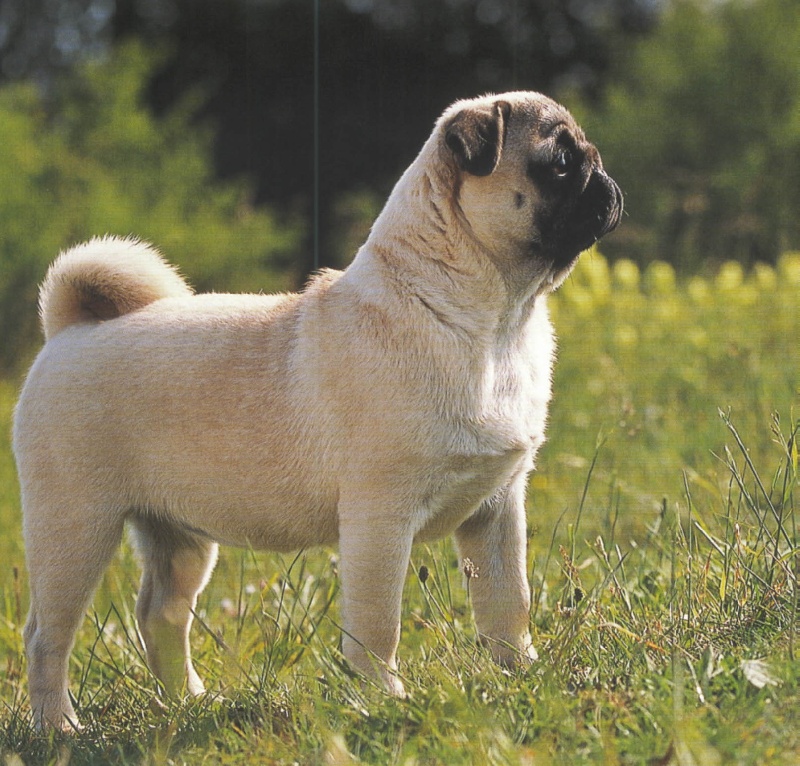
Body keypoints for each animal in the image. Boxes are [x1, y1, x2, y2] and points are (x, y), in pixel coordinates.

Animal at [13, 91, 622, 730]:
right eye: (559, 164)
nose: (606, 179)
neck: (498, 322)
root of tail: (70, 329)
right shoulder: (380, 519)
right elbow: (378, 624)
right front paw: (384, 698)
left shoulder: (497, 510)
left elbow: (509, 603)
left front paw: (519, 675)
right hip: (75, 527)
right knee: (47, 638)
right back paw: (57, 726)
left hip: (177, 536)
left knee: (160, 615)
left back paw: (190, 701)